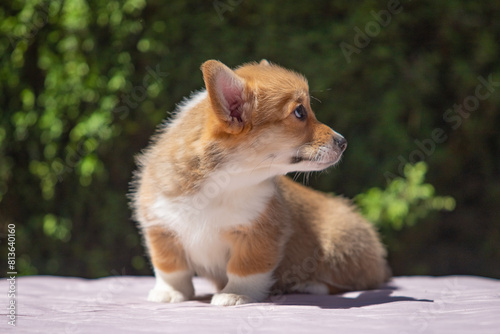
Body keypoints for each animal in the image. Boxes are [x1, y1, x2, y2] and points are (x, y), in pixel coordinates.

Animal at [133, 59, 390, 306]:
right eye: (300, 112)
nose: (343, 142)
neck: (220, 183)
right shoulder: (161, 229)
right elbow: (170, 269)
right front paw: (169, 293)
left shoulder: (259, 234)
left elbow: (245, 268)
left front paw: (235, 295)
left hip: (340, 246)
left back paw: (309, 285)